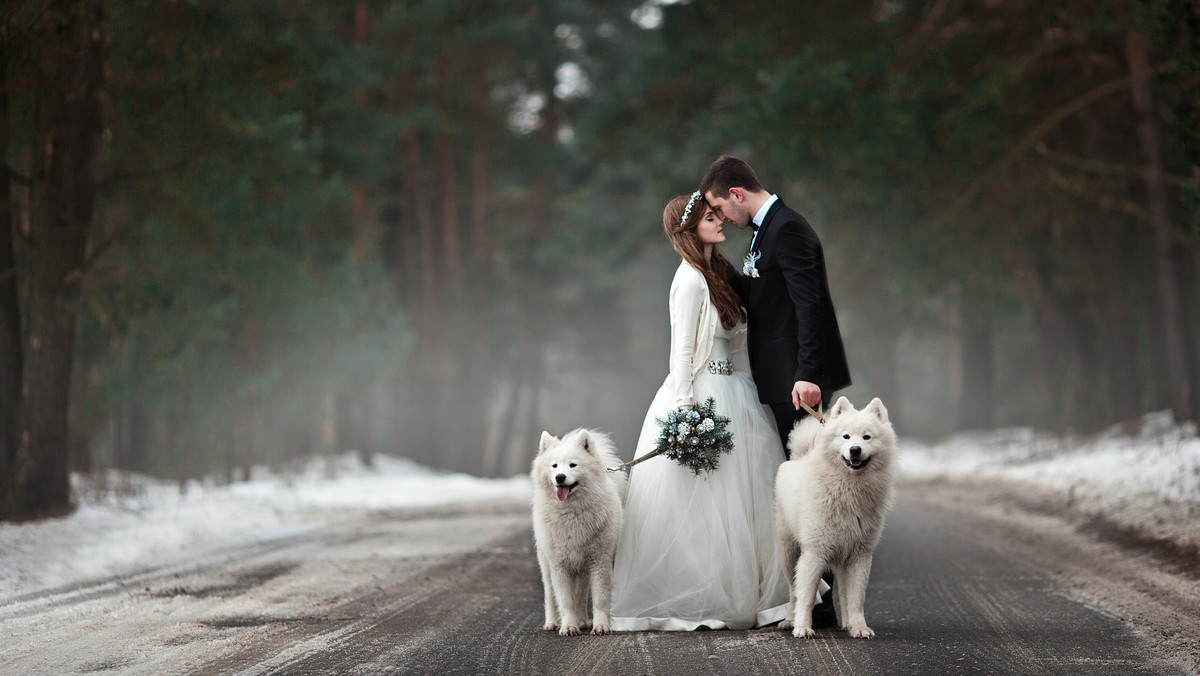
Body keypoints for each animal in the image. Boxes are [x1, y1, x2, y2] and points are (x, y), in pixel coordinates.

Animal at [532, 427, 628, 633]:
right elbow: (565, 601)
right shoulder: (559, 565)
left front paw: (600, 626)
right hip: (546, 565)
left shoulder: (599, 561)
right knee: (550, 595)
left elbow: (599, 598)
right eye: (554, 466)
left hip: (583, 568)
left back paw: (583, 620)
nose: (560, 477)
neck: (572, 513)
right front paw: (569, 626)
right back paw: (552, 622)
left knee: (582, 594)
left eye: (573, 465)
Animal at [772, 396, 897, 638]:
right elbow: (806, 596)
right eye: (846, 436)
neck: (849, 490)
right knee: (792, 591)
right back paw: (789, 620)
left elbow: (856, 598)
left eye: (867, 437)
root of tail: (799, 458)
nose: (855, 450)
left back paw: (847, 624)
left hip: (841, 558)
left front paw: (859, 627)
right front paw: (803, 627)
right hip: (788, 552)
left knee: (843, 593)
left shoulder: (859, 554)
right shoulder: (814, 552)